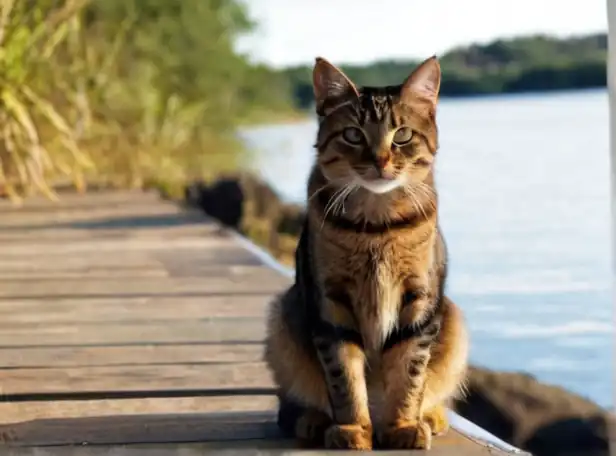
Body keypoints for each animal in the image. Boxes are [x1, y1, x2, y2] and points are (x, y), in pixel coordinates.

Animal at [262, 55, 470, 450]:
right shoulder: (331, 303)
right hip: (283, 318)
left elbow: (409, 372)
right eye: (353, 134)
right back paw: (313, 420)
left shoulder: (418, 299)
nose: (380, 160)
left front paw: (403, 424)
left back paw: (430, 416)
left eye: (402, 135)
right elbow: (344, 375)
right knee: (292, 401)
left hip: (453, 319)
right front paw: (353, 428)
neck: (378, 226)